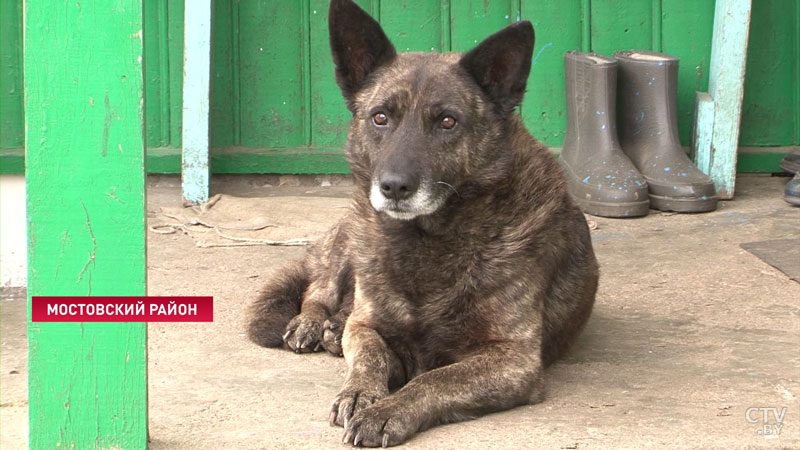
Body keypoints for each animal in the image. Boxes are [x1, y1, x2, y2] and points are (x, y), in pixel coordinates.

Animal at [247, 0, 596, 444]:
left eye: (447, 122)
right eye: (380, 117)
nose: (394, 186)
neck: (427, 239)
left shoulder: (512, 359)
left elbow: (433, 379)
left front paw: (387, 410)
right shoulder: (367, 328)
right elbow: (370, 357)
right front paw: (360, 391)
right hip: (350, 242)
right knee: (319, 289)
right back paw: (313, 323)